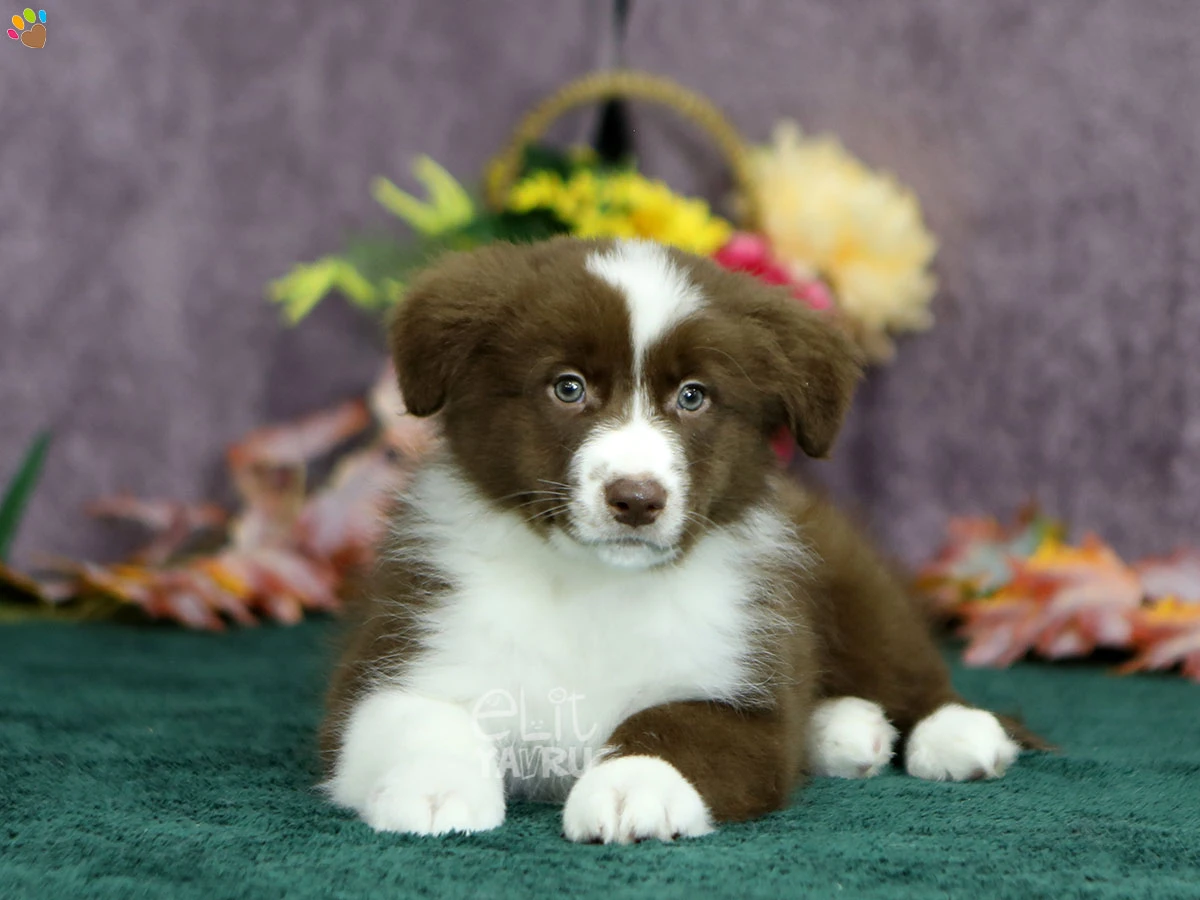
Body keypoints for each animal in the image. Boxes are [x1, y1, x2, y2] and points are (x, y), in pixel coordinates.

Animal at [319, 237, 1032, 844]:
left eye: (693, 397)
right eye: (568, 387)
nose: (637, 499)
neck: (594, 587)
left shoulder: (744, 684)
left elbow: (676, 726)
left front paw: (631, 787)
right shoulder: (405, 643)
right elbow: (418, 716)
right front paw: (434, 788)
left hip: (855, 582)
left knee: (906, 666)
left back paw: (955, 731)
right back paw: (846, 730)